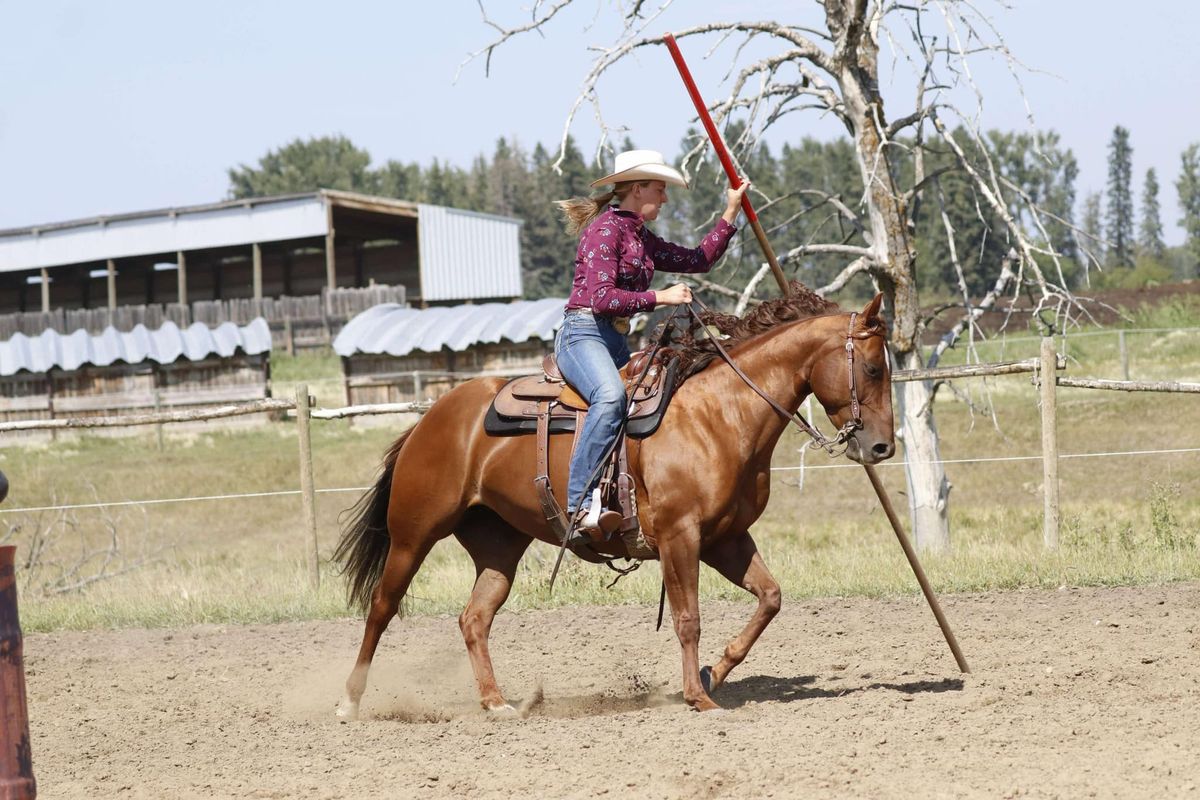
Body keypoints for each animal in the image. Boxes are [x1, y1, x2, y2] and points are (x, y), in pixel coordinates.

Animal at [333, 291, 897, 714]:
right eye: (873, 368)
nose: (881, 448)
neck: (721, 413)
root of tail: (430, 417)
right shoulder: (679, 537)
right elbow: (687, 618)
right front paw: (697, 697)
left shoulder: (726, 538)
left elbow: (770, 599)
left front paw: (712, 674)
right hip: (414, 533)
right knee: (381, 607)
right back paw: (350, 702)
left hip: (498, 545)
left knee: (474, 618)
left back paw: (497, 703)